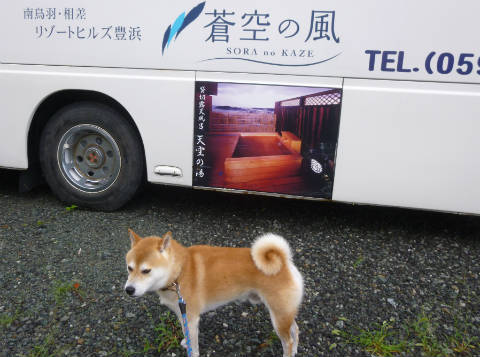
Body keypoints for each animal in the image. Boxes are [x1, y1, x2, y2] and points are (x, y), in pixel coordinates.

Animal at [124, 229, 304, 354]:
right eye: (129, 268)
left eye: (146, 271)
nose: (128, 290)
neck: (179, 273)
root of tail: (285, 262)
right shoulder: (182, 313)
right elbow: (184, 331)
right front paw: (185, 342)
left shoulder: (191, 318)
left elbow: (194, 344)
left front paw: (191, 350)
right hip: (284, 313)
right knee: (295, 330)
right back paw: (295, 350)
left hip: (278, 316)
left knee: (287, 341)